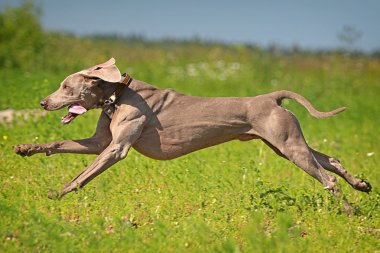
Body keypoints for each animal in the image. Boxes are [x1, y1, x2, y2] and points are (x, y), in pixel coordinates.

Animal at [14, 57, 372, 213]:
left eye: (65, 86)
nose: (42, 102)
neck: (117, 94)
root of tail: (272, 97)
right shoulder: (99, 143)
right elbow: (59, 144)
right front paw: (26, 148)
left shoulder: (116, 149)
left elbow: (82, 175)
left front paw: (57, 194)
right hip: (284, 144)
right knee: (331, 160)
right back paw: (361, 184)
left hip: (289, 145)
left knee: (328, 179)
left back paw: (349, 211)